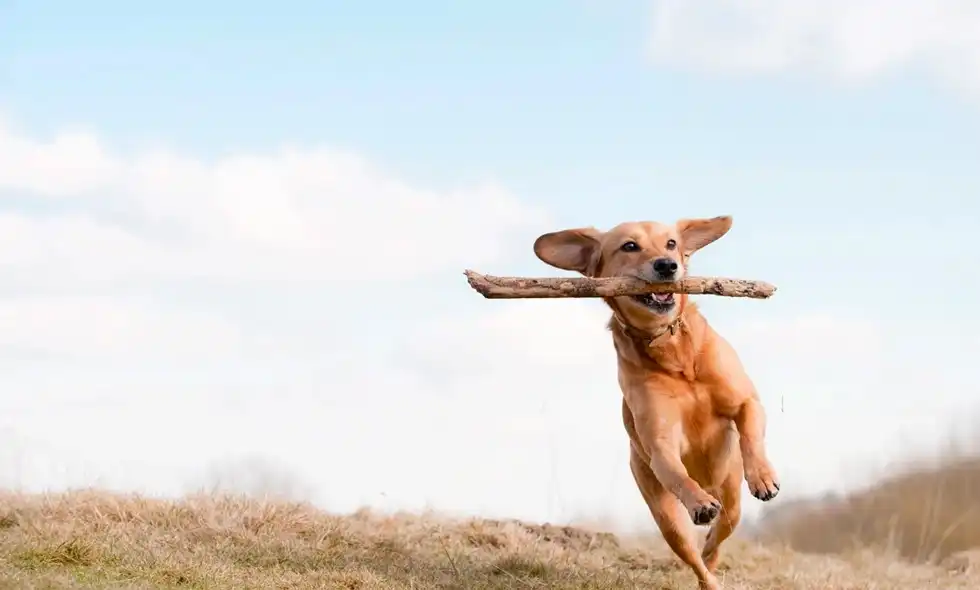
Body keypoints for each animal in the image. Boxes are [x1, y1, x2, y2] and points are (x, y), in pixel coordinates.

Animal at [532, 217, 776, 590]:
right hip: (665, 515)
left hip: (731, 491)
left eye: (672, 243)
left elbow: (750, 433)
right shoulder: (661, 442)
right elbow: (676, 472)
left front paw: (763, 477)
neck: (672, 351)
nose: (667, 265)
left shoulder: (746, 401)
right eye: (630, 246)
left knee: (722, 531)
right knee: (695, 557)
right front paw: (698, 501)